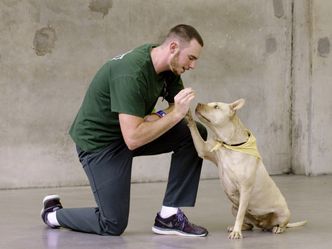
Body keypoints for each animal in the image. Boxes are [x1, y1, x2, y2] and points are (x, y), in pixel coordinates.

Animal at [187, 98, 306, 239]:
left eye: (216, 107)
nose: (198, 104)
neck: (229, 144)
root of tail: (263, 224)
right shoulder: (204, 150)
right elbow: (195, 131)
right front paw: (186, 113)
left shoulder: (245, 190)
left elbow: (240, 214)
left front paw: (236, 233)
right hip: (233, 207)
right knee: (249, 224)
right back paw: (240, 227)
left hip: (284, 213)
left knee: (281, 224)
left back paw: (277, 228)